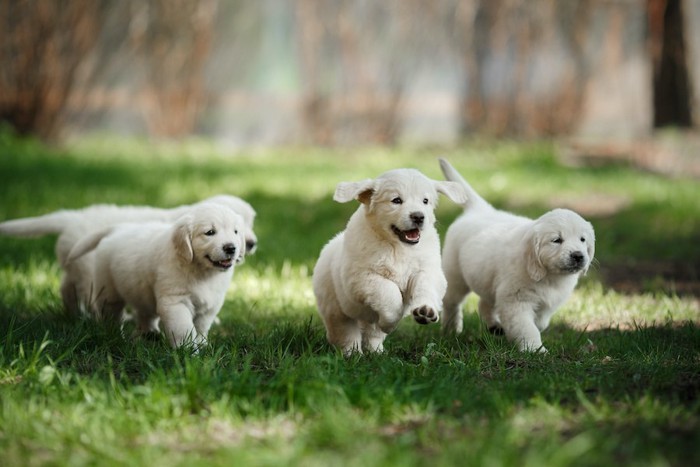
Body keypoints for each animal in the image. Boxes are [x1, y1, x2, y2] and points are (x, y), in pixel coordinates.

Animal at [0, 194, 258, 314]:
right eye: (212, 232)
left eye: (250, 222)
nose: (251, 244)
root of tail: (71, 218)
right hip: (89, 269)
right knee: (89, 294)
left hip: (75, 264)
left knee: (66, 287)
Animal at [66, 203, 246, 350]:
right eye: (210, 232)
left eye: (236, 232)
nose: (231, 248)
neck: (201, 271)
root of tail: (118, 229)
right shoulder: (175, 302)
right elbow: (184, 328)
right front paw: (187, 351)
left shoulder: (211, 305)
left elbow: (201, 326)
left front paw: (202, 345)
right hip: (108, 290)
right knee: (111, 314)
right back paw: (115, 335)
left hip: (142, 291)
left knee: (146, 314)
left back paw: (148, 335)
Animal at [314, 168, 468, 354]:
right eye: (396, 200)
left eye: (425, 201)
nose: (418, 216)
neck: (398, 247)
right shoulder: (361, 278)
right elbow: (389, 291)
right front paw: (391, 322)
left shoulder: (427, 269)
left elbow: (425, 286)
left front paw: (425, 310)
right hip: (336, 308)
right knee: (345, 332)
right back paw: (353, 353)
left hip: (367, 319)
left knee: (372, 333)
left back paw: (376, 352)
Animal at [438, 159, 596, 352]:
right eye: (557, 240)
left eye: (582, 239)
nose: (578, 256)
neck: (549, 276)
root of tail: (480, 210)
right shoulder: (516, 301)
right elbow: (527, 327)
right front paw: (534, 350)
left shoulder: (546, 304)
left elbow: (540, 322)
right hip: (455, 276)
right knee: (451, 303)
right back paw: (451, 329)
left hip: (487, 279)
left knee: (484, 303)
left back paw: (493, 327)